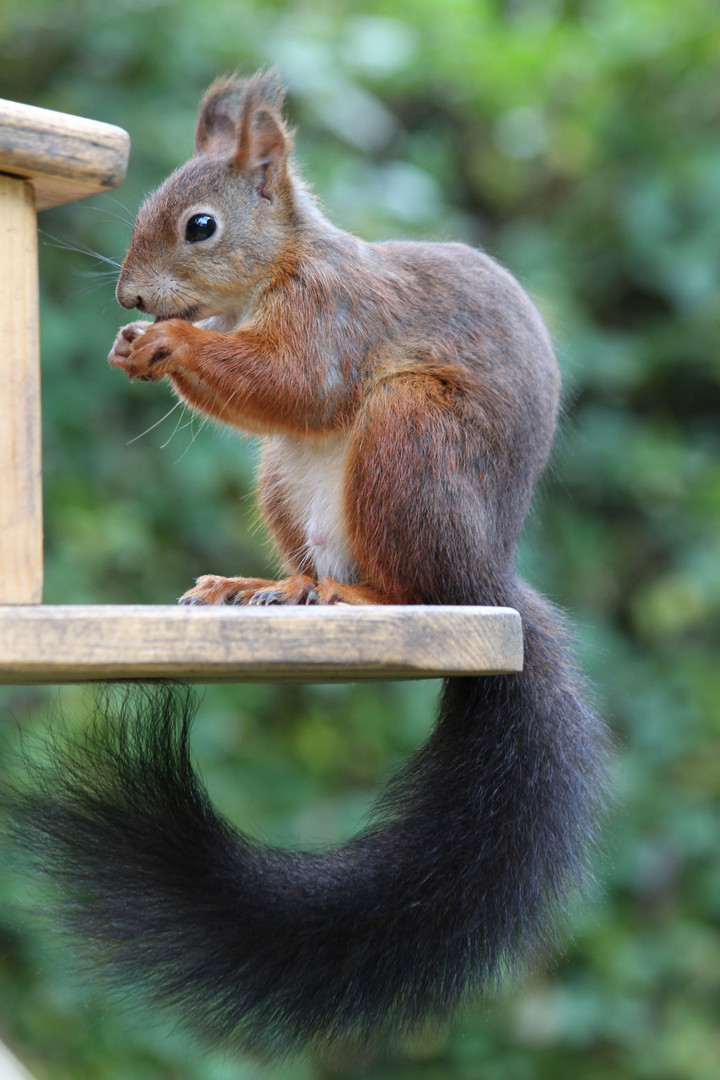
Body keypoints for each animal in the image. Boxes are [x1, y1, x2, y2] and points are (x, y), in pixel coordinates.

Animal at [11, 71, 608, 1058]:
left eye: (201, 225)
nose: (131, 304)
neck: (272, 277)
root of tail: (492, 574)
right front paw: (138, 349)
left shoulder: (332, 319)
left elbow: (296, 384)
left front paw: (172, 346)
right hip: (283, 479)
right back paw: (265, 585)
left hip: (412, 438)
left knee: (415, 587)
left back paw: (349, 593)